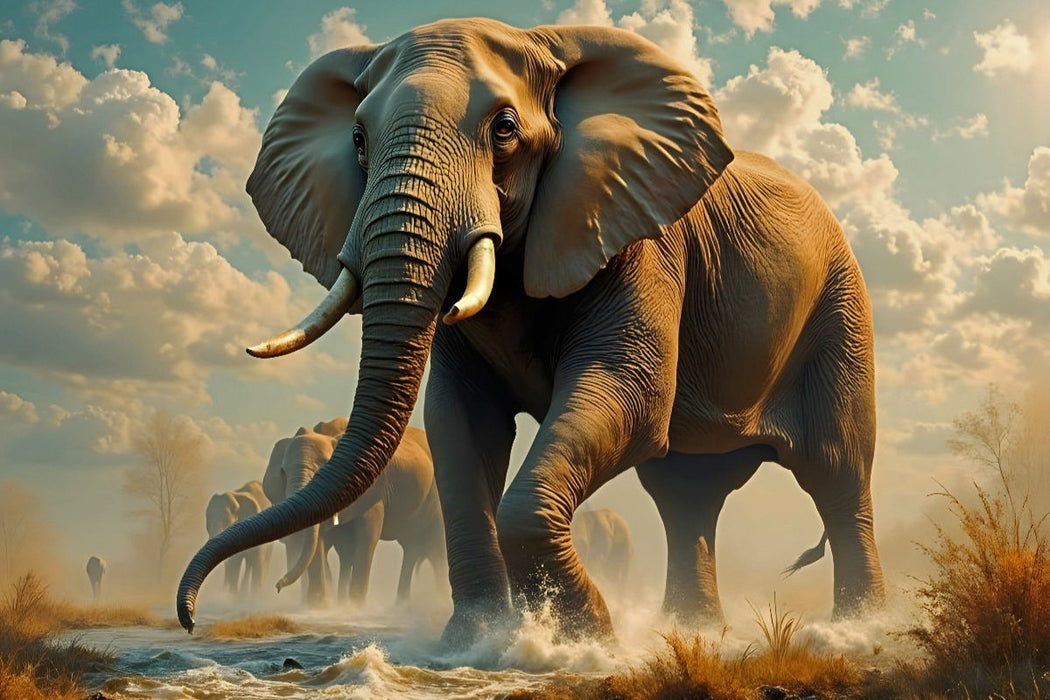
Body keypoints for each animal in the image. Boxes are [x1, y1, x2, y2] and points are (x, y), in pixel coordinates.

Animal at [179, 18, 884, 644]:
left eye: (505, 128)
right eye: (356, 138)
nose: (187, 616)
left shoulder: (637, 238)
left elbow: (627, 392)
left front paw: (585, 639)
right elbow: (461, 419)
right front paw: (479, 643)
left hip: (840, 311)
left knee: (837, 472)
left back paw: (857, 631)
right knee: (685, 496)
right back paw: (694, 631)